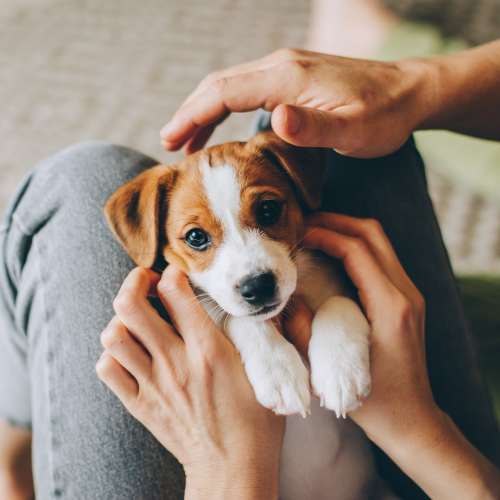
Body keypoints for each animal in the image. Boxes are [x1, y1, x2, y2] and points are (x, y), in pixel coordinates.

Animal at [103, 131, 388, 498]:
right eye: (196, 237)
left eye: (268, 209)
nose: (258, 287)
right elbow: (239, 319)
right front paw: (278, 371)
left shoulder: (342, 286)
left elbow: (338, 303)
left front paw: (340, 371)